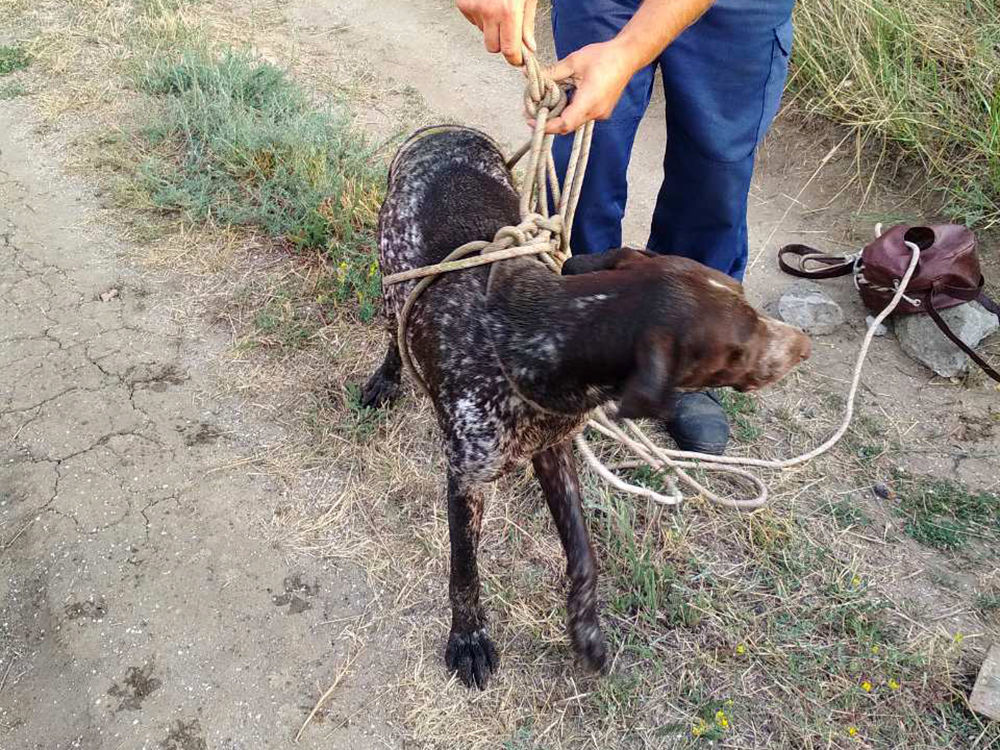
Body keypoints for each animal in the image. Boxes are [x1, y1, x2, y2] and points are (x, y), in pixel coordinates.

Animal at [362, 125, 812, 692]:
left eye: (743, 294)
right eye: (737, 348)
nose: (803, 346)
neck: (533, 331)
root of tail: (446, 131)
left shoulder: (554, 451)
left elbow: (583, 552)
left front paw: (585, 628)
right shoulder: (467, 479)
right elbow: (464, 570)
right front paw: (468, 638)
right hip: (392, 282)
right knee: (393, 336)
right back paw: (386, 379)